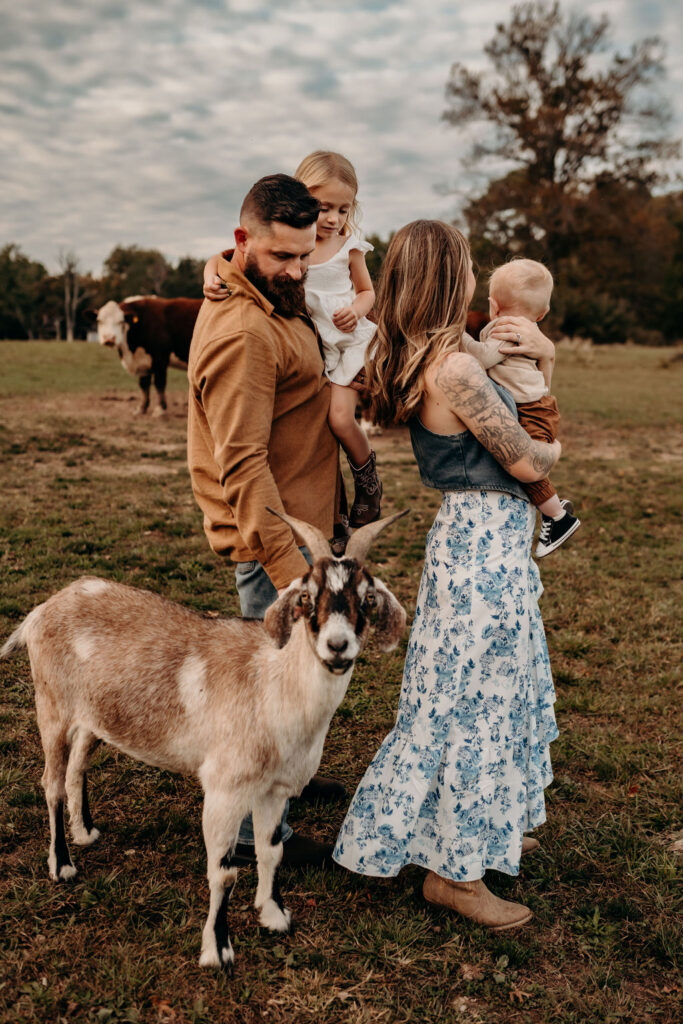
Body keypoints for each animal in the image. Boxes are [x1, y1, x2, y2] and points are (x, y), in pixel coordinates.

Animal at [0, 512, 405, 974]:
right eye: (306, 596)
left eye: (367, 599)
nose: (338, 646)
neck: (273, 685)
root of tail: (43, 610)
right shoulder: (225, 789)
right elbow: (224, 873)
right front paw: (218, 950)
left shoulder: (273, 789)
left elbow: (272, 851)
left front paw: (273, 915)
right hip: (52, 705)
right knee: (50, 782)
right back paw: (62, 865)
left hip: (94, 716)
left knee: (76, 767)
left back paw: (84, 832)